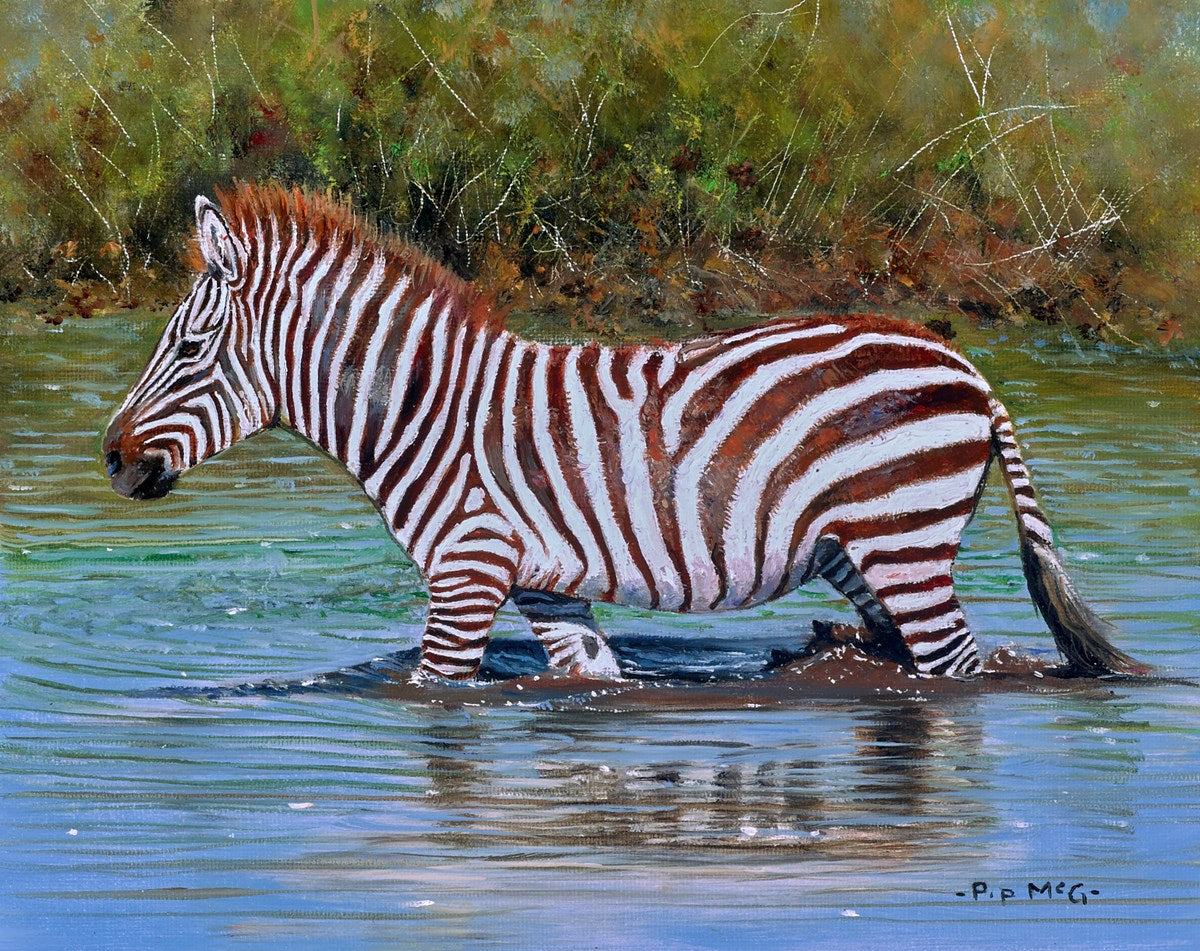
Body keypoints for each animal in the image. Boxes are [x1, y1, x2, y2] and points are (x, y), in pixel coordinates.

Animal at [103, 184, 1144, 683]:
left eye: (188, 346)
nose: (111, 458)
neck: (421, 413)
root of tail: (969, 370)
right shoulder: (545, 584)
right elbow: (591, 679)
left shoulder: (467, 569)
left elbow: (436, 694)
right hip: (863, 551)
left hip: (904, 537)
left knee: (957, 669)